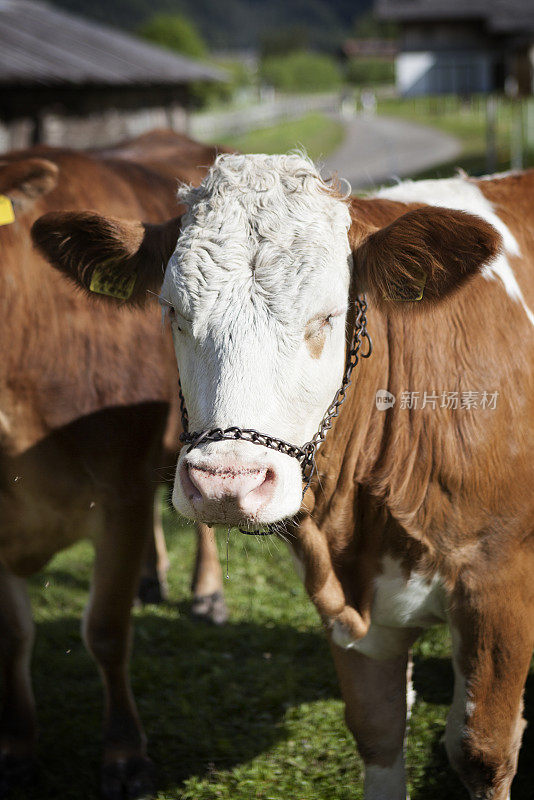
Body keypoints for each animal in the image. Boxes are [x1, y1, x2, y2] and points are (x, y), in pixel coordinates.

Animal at [0, 142, 228, 800]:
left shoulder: (118, 495)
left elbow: (104, 630)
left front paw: (125, 755)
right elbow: (12, 639)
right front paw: (16, 747)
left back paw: (207, 593)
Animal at [34, 155, 534, 800]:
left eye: (328, 315)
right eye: (174, 313)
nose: (227, 483)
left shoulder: (497, 584)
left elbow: (482, 751)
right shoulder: (352, 615)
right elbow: (378, 733)